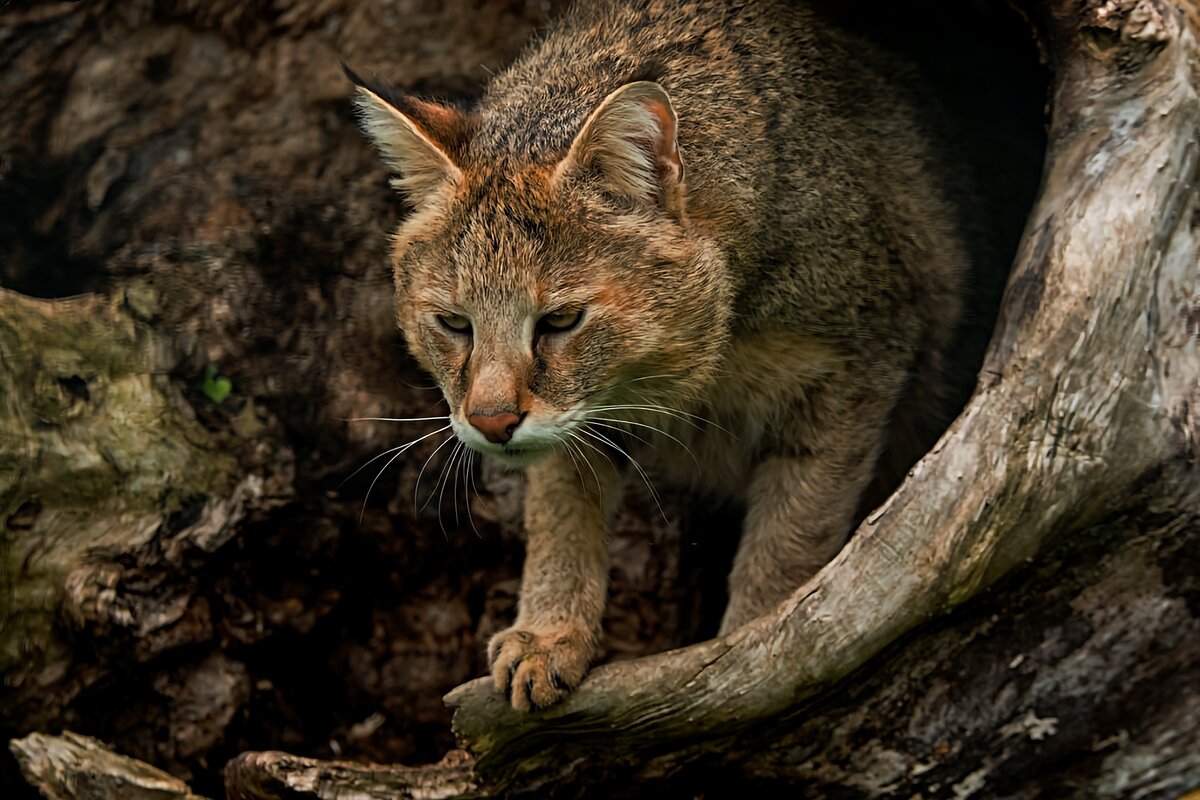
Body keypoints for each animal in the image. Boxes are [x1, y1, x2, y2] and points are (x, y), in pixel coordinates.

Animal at [348, 0, 964, 714]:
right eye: (453, 323)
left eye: (561, 321)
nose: (491, 422)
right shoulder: (581, 420)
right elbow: (561, 503)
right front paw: (550, 634)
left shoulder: (855, 374)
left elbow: (791, 534)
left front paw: (754, 643)